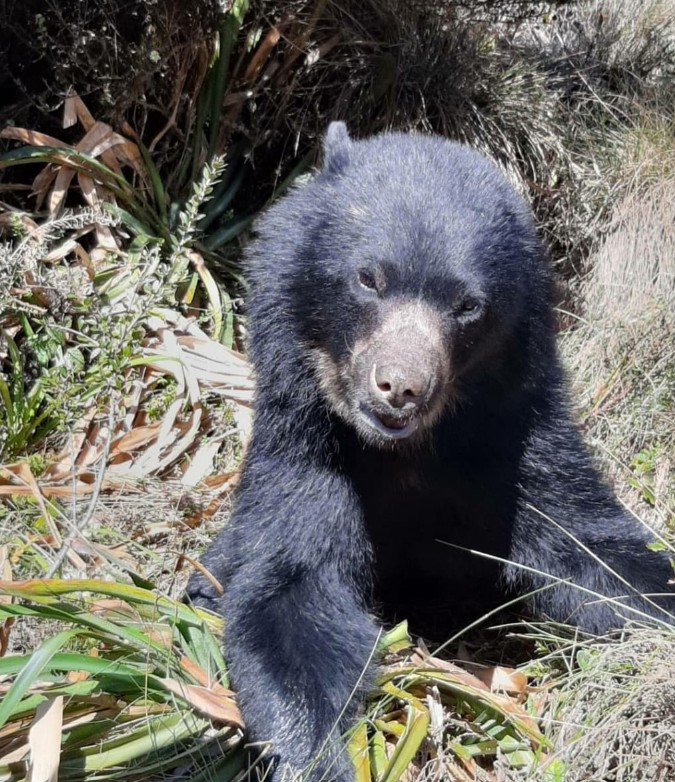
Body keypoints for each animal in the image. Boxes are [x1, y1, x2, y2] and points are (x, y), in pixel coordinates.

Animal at [186, 122, 675, 782]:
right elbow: (290, 590)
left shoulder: (518, 442)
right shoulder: (306, 443)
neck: (406, 450)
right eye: (368, 279)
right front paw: (319, 755)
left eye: (468, 305)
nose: (399, 387)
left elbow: (598, 548)